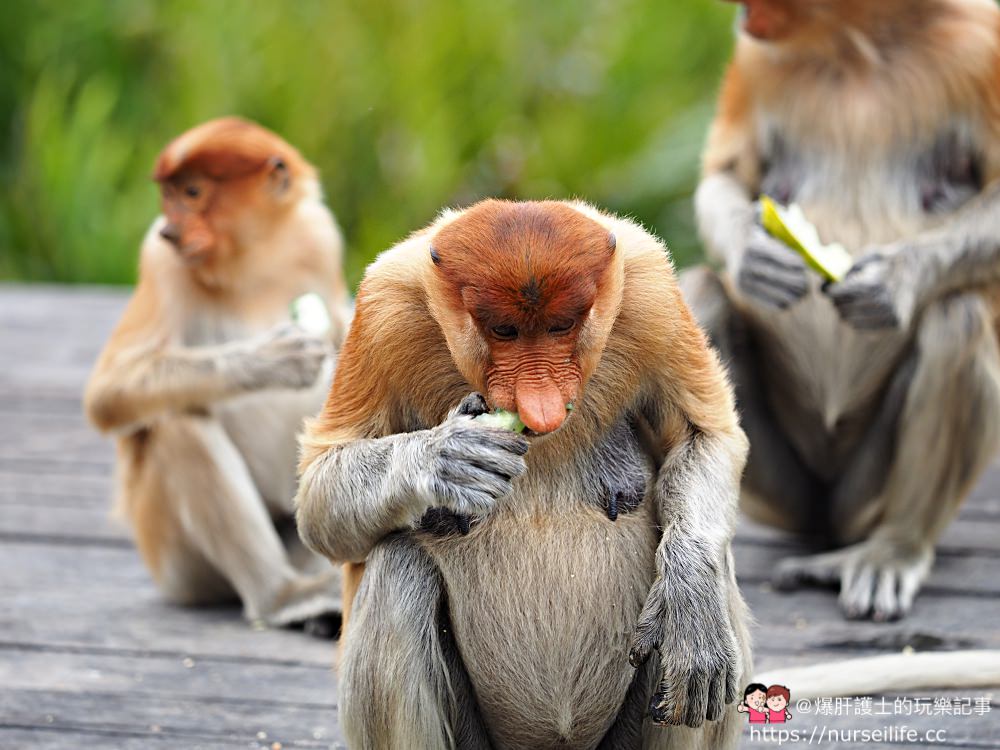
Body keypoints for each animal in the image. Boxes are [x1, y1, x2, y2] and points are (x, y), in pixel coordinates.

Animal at [86, 119, 352, 636]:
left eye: (193, 192)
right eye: (168, 196)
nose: (172, 230)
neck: (254, 260)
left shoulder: (319, 236)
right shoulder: (160, 260)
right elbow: (109, 393)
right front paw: (275, 358)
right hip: (178, 563)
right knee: (177, 423)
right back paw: (283, 598)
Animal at [294, 200, 752, 750]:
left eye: (560, 326)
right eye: (505, 332)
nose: (541, 405)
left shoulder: (652, 294)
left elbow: (705, 434)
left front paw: (690, 606)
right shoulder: (384, 311)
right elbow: (319, 493)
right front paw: (447, 456)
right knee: (397, 566)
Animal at [688, 0, 1000, 624]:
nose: (739, 11)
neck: (860, 47)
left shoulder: (981, 48)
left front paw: (892, 283)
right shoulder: (756, 63)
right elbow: (724, 174)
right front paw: (758, 258)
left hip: (865, 494)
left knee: (957, 315)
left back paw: (892, 552)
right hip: (782, 489)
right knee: (704, 294)